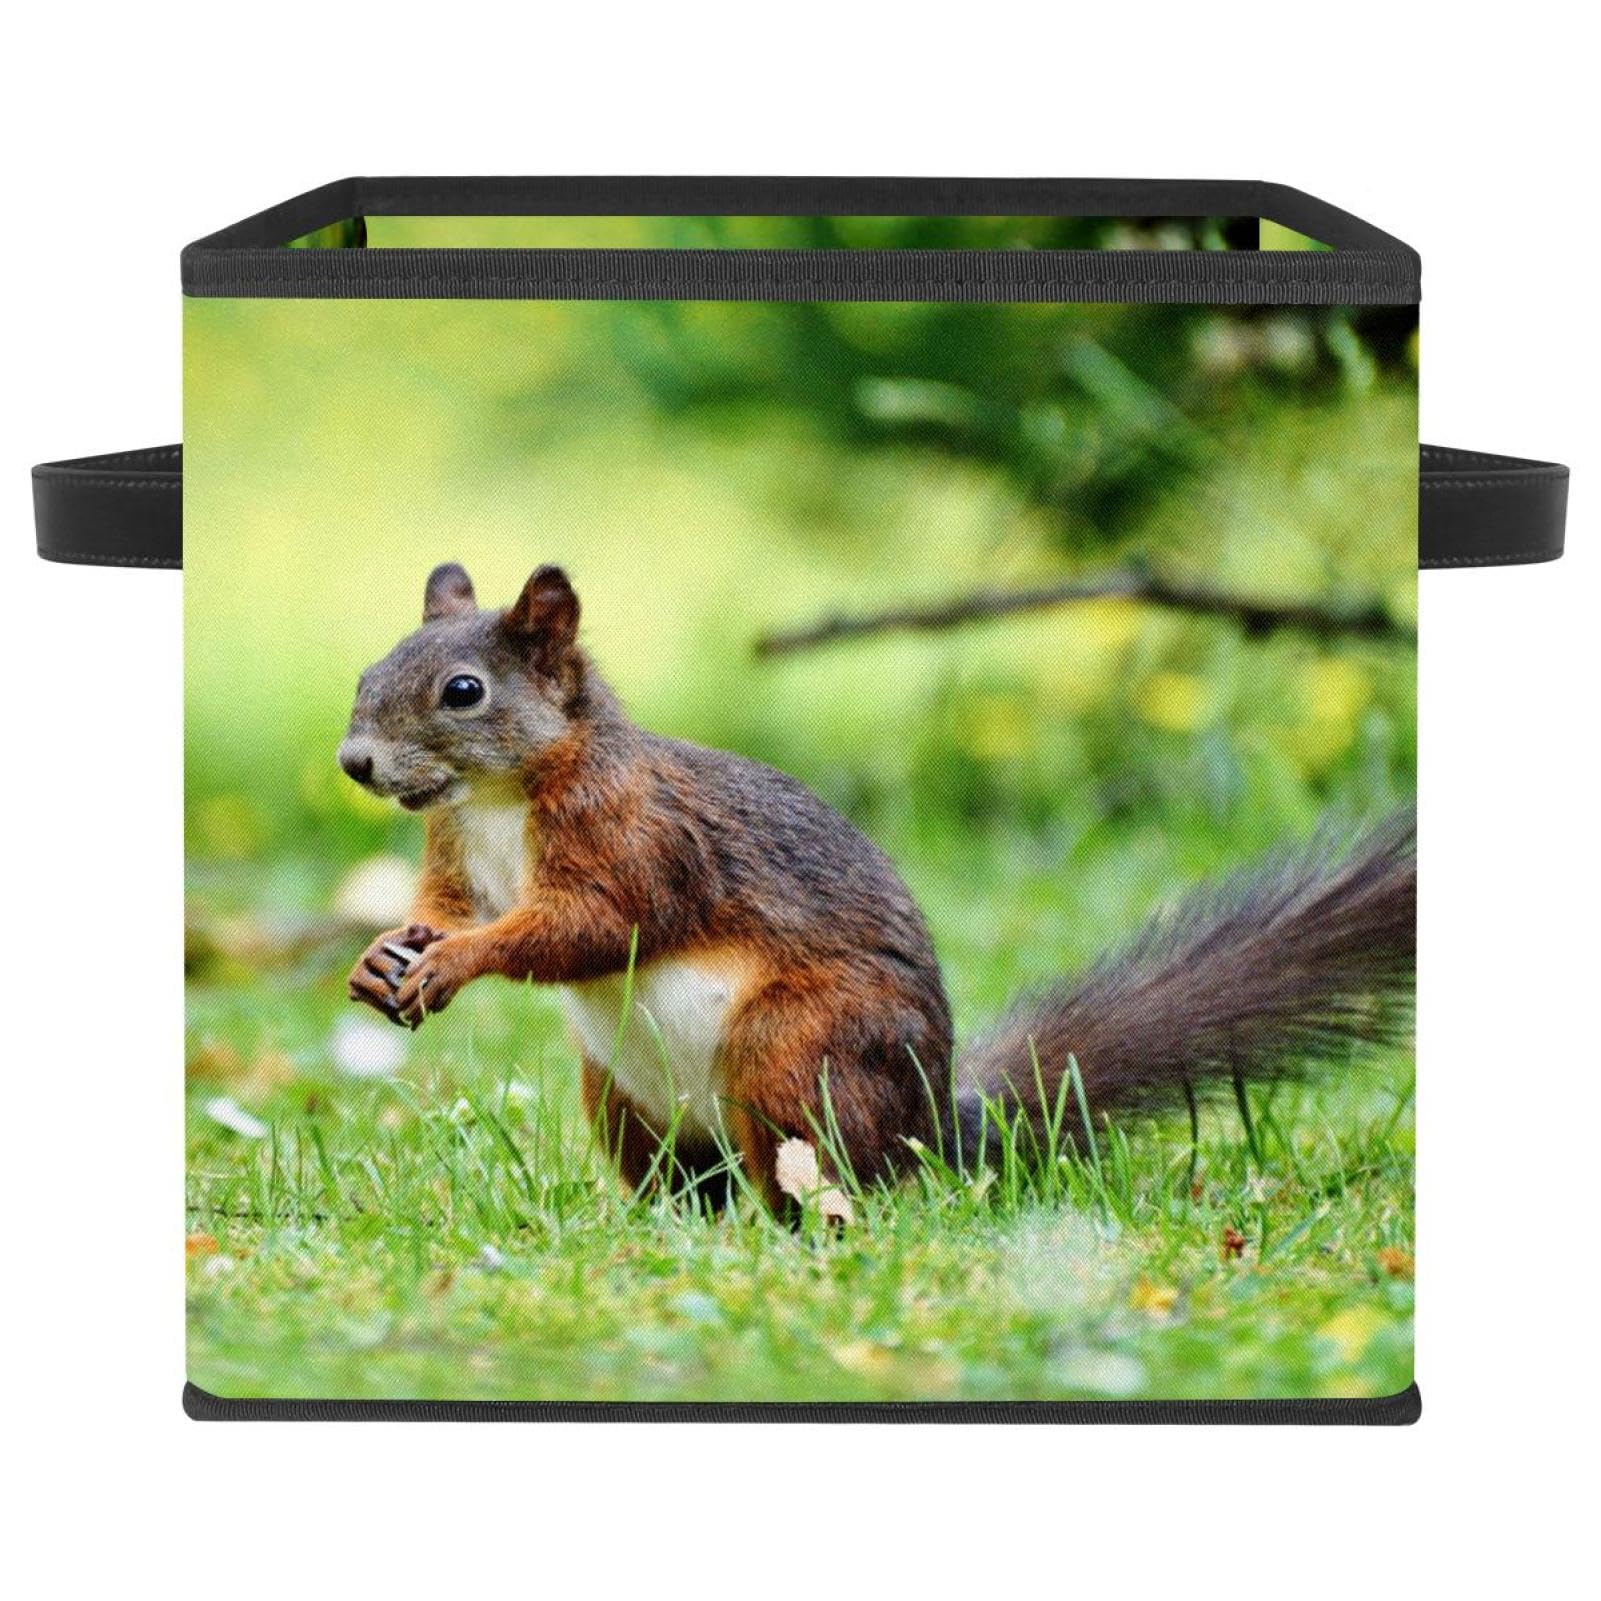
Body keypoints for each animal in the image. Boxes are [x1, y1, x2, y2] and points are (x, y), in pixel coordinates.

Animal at [339, 561, 1416, 1205]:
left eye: (464, 691)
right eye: (368, 672)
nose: (355, 762)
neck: (495, 798)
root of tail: (927, 1129)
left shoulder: (638, 842)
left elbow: (588, 925)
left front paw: (458, 961)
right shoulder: (454, 850)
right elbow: (443, 907)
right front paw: (381, 956)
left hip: (795, 1048)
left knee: (813, 1171)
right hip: (622, 1095)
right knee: (688, 1182)